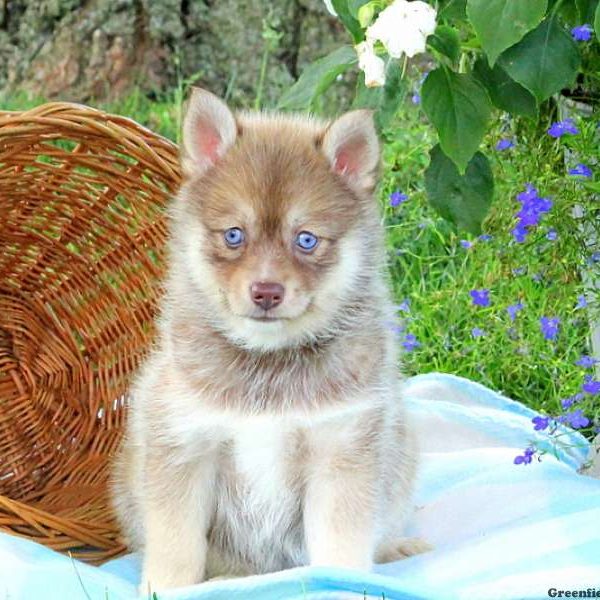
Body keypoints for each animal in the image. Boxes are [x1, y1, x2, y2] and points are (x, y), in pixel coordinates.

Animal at [110, 88, 424, 592]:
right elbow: (176, 547)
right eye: (234, 235)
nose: (266, 292)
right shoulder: (184, 446)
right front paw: (163, 590)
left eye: (307, 240)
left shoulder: (341, 450)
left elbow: (341, 549)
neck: (267, 363)